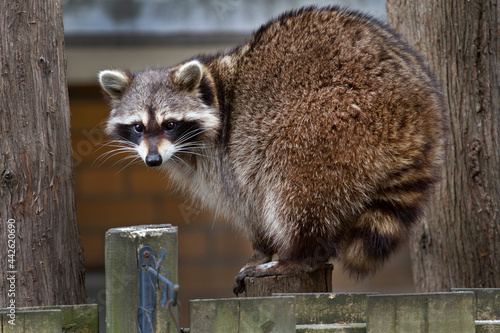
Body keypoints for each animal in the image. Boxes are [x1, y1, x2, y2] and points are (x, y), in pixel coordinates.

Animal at [97, 6, 446, 294]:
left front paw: (260, 250)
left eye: (169, 124)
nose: (153, 160)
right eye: (138, 127)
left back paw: (300, 255)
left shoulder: (230, 155)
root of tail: (422, 108)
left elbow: (250, 204)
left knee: (294, 186)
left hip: (333, 122)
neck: (215, 90)